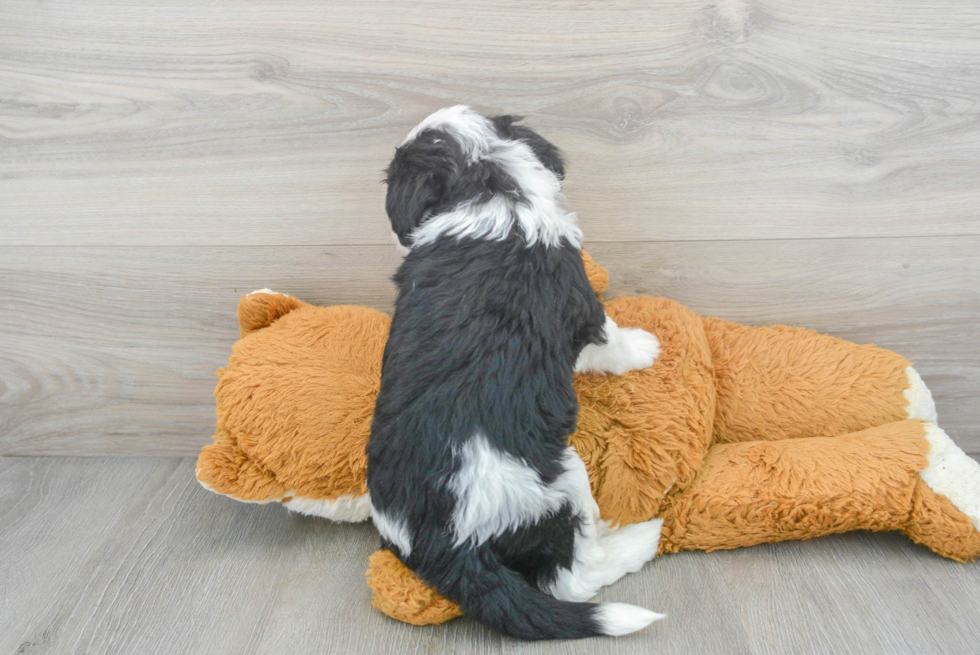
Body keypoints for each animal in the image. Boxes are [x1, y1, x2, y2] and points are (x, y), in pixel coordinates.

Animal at [368, 107, 668, 640]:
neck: (490, 186)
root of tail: (440, 542)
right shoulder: (580, 301)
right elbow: (609, 339)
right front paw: (644, 348)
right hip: (561, 483)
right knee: (572, 578)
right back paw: (635, 539)